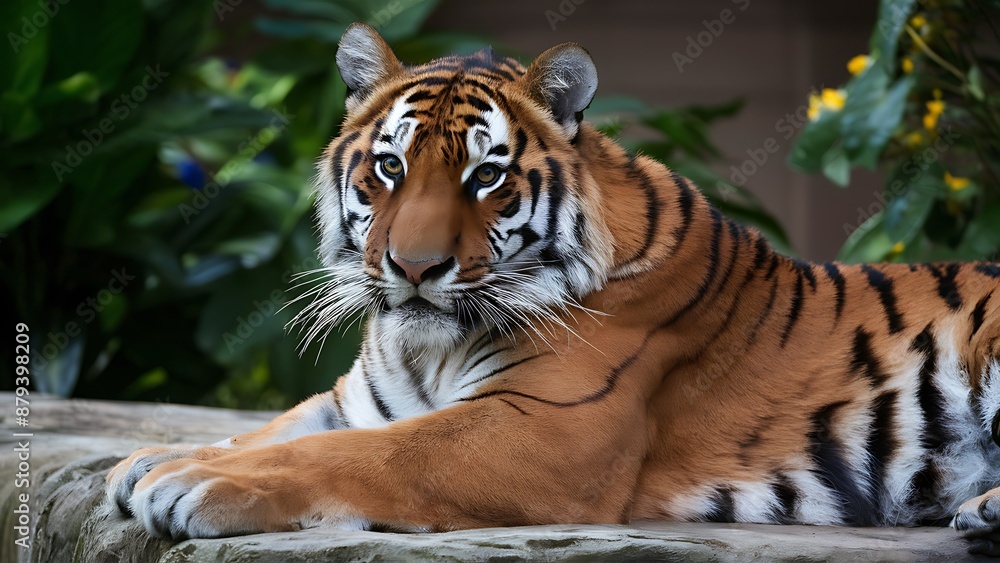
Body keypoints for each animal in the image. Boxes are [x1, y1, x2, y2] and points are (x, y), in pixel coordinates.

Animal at [107, 22, 1000, 554]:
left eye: (486, 175)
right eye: (389, 165)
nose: (414, 267)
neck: (425, 347)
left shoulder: (545, 427)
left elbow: (356, 452)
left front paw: (189, 482)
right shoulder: (363, 396)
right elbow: (276, 429)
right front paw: (150, 458)